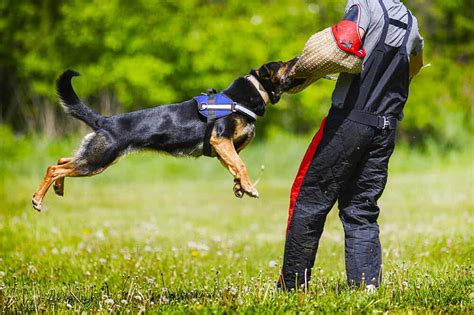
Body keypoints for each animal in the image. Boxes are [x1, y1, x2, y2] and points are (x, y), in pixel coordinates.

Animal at [32, 59, 300, 212]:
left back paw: (57, 189)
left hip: (94, 156)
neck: (245, 97)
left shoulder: (223, 149)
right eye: (283, 63)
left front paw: (240, 187)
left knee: (62, 161)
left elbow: (235, 167)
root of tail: (105, 121)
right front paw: (249, 187)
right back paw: (37, 199)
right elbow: (241, 165)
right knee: (54, 168)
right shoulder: (221, 140)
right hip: (97, 160)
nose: (298, 57)